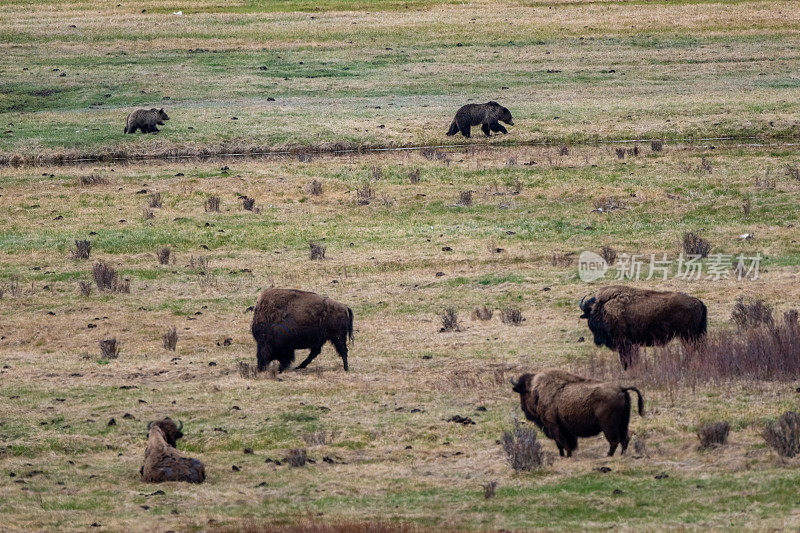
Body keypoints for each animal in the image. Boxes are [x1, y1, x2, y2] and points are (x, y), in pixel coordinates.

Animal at [512, 368, 644, 456]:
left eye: (522, 393)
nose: (523, 408)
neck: (536, 392)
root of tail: (621, 389)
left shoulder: (554, 426)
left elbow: (562, 443)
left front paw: (567, 455)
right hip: (623, 423)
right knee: (624, 439)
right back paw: (621, 455)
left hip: (608, 426)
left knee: (614, 441)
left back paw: (608, 455)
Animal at [580, 284, 708, 368]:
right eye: (589, 315)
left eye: (593, 316)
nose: (598, 340)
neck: (605, 309)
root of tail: (698, 302)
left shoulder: (624, 343)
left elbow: (626, 357)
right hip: (696, 335)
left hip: (687, 335)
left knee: (691, 349)